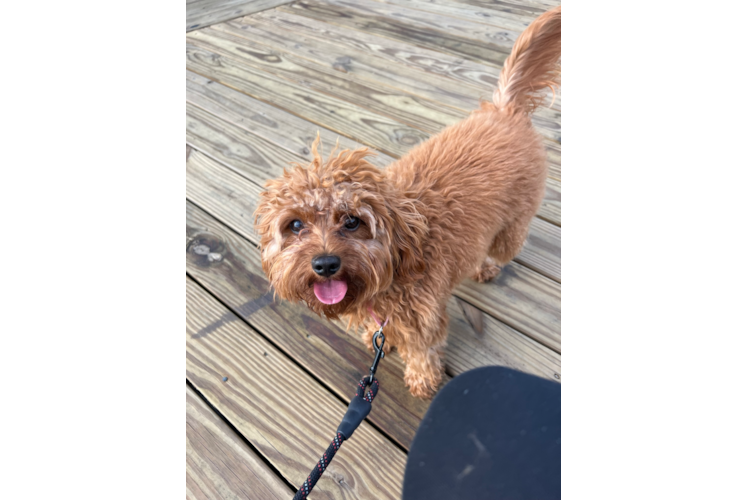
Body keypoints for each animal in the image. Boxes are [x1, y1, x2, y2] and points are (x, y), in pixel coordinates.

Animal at [254, 5, 560, 398]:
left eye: (352, 221)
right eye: (294, 225)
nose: (324, 264)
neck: (402, 255)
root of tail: (503, 109)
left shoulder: (424, 318)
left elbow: (422, 350)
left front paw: (423, 380)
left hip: (512, 226)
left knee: (503, 247)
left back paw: (487, 265)